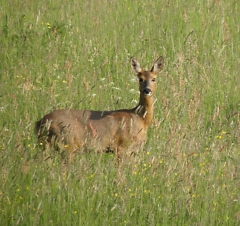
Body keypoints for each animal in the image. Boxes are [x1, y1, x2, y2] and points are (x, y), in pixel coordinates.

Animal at [35, 55, 163, 160]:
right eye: (140, 79)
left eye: (153, 79)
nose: (147, 90)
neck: (140, 118)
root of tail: (41, 122)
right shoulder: (122, 147)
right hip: (68, 143)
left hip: (45, 144)